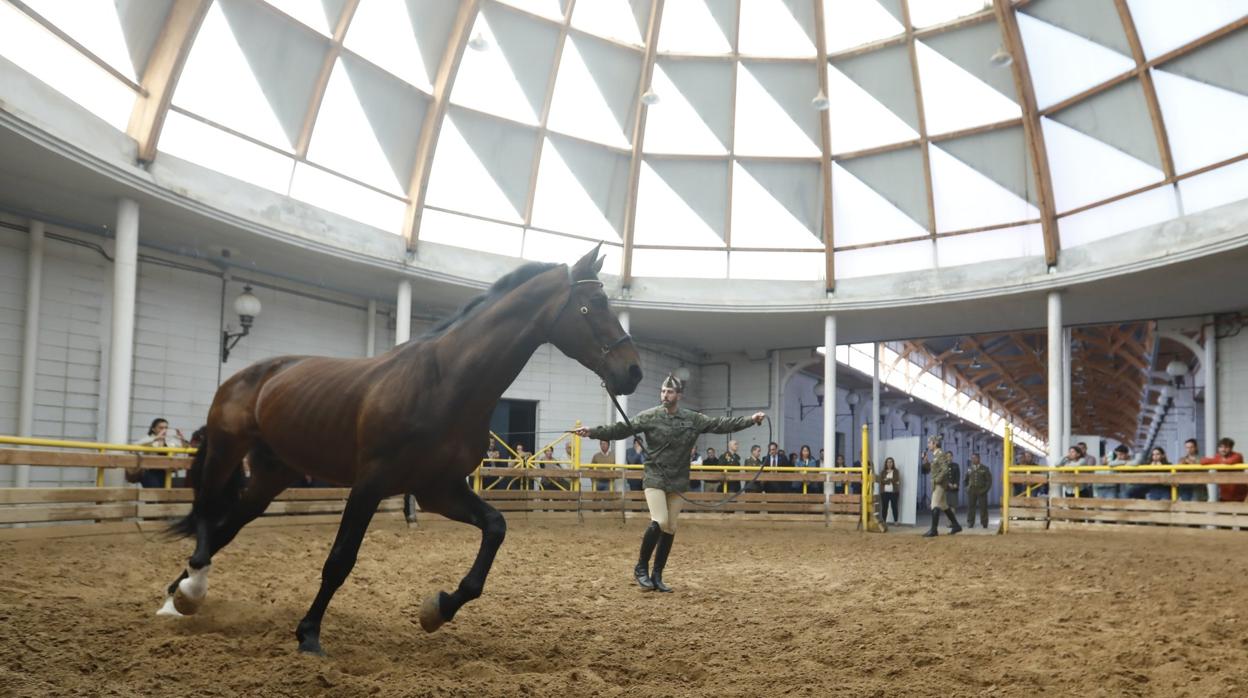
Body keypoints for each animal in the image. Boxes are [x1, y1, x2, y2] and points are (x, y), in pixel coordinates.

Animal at [159, 247, 638, 654]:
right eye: (594, 305)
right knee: (207, 515)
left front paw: (438, 609)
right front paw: (309, 634)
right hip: (225, 450)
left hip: (273, 474)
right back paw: (191, 589)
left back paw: (178, 595)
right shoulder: (371, 484)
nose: (633, 372)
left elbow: (496, 528)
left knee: (227, 527)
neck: (444, 383)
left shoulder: (438, 489)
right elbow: (340, 560)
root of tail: (252, 373)